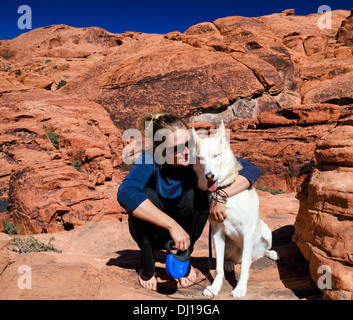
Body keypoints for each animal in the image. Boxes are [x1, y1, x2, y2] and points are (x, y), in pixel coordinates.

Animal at [191, 122, 276, 298]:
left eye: (216, 155)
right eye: (200, 158)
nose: (209, 176)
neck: (224, 192)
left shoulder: (248, 232)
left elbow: (244, 268)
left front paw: (240, 288)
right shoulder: (217, 233)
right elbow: (218, 268)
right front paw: (215, 286)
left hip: (266, 232)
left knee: (258, 253)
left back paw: (270, 253)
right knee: (230, 260)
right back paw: (230, 263)